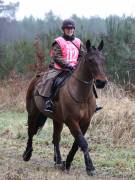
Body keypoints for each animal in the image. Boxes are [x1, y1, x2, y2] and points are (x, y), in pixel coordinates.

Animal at [22, 39, 107, 176]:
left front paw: (67, 163)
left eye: (103, 59)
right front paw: (90, 168)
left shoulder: (85, 122)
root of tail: (36, 79)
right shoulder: (71, 121)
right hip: (32, 113)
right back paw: (27, 154)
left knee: (55, 139)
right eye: (90, 60)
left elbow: (77, 144)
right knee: (31, 132)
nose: (101, 82)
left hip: (57, 119)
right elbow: (83, 143)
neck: (81, 94)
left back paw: (58, 161)